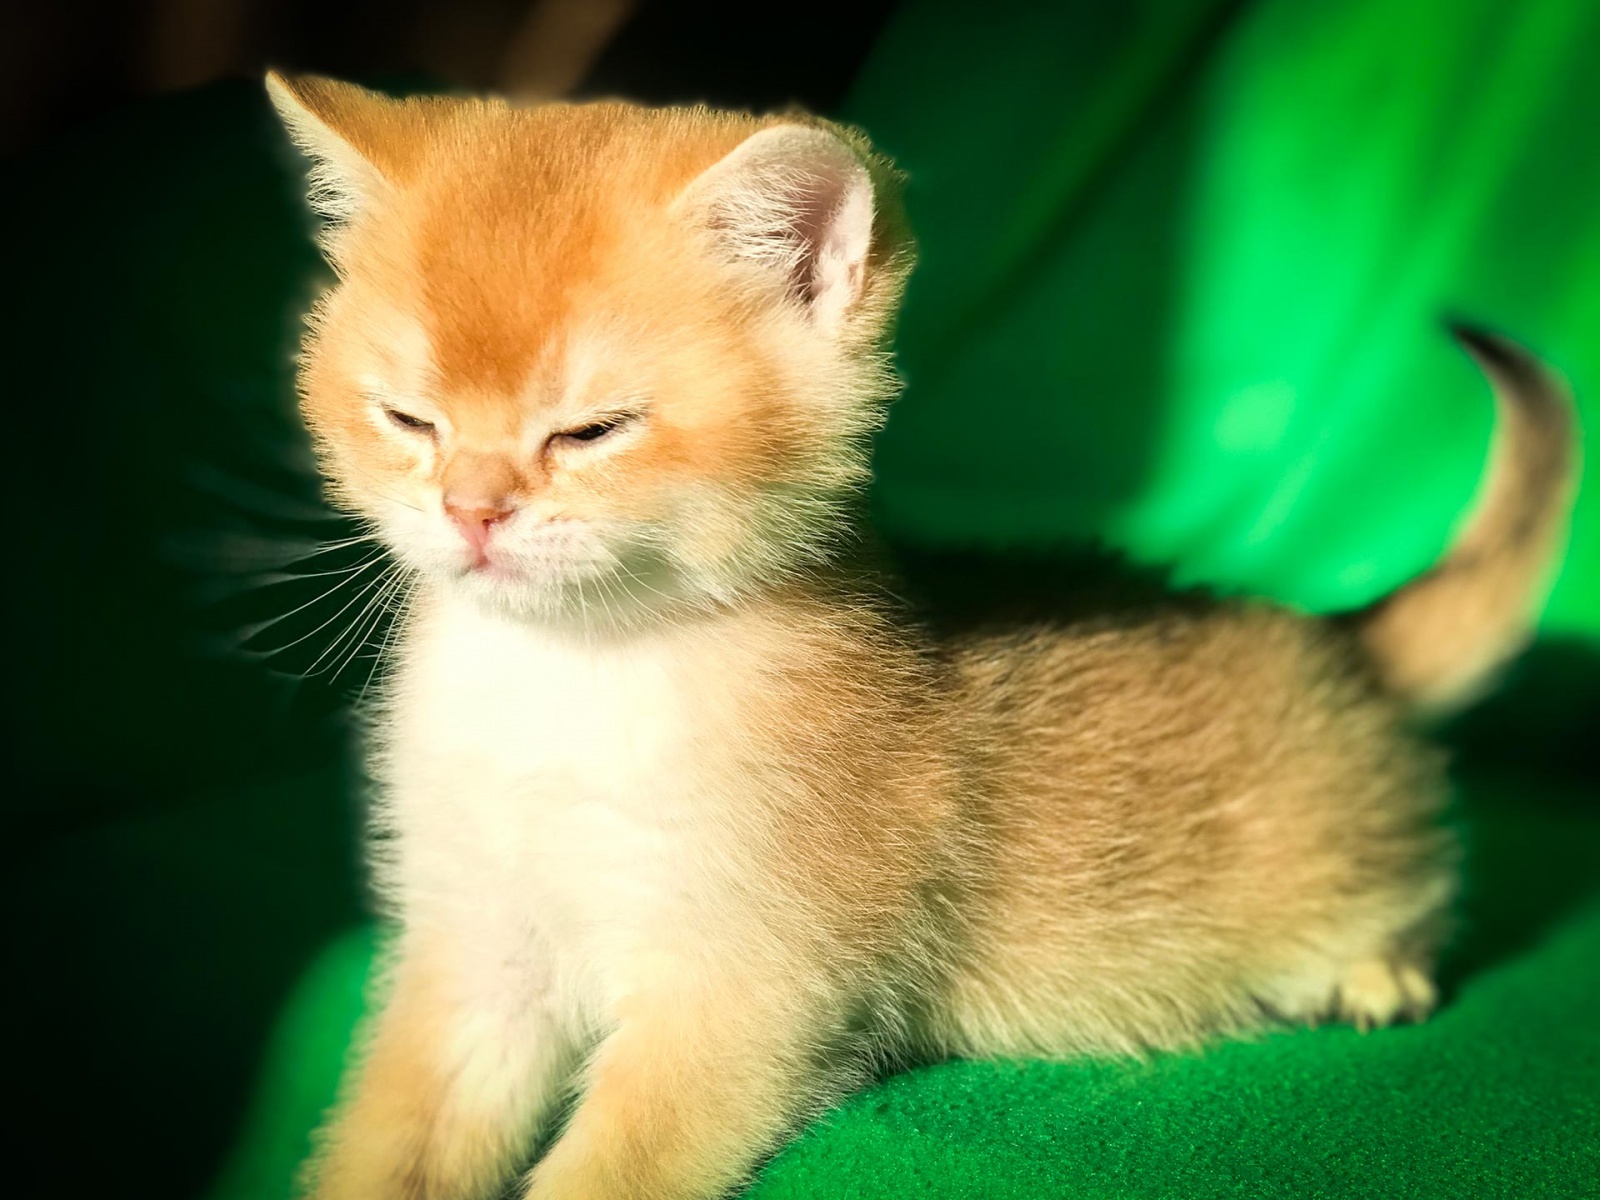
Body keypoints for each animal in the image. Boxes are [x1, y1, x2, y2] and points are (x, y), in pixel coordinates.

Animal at [262, 75, 1574, 1200]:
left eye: (592, 430)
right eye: (408, 419)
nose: (471, 509)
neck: (568, 682)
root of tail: (1339, 640)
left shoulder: (741, 997)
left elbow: (607, 1173)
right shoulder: (475, 963)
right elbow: (383, 1150)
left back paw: (1373, 967)